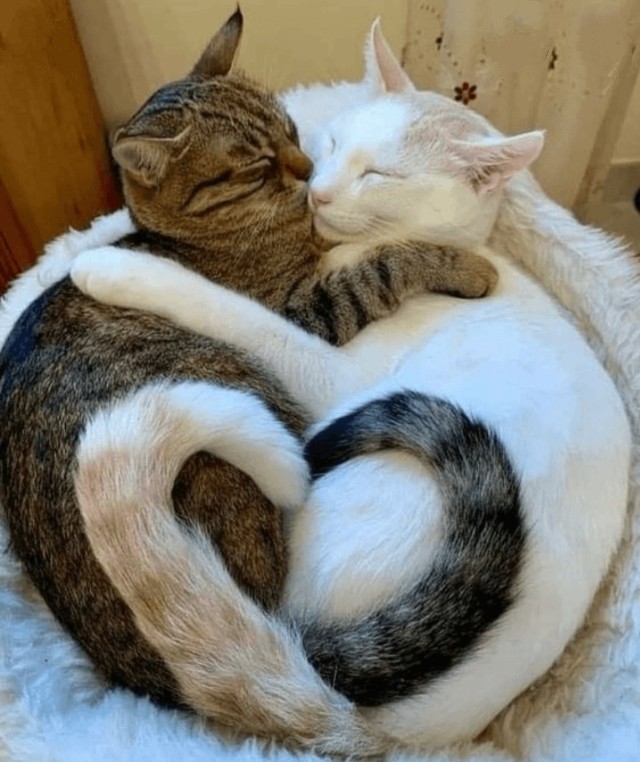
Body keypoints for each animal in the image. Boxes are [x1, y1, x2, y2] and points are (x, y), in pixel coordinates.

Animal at [0, 11, 505, 756]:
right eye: (255, 167)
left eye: (292, 130)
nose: (308, 175)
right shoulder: (306, 308)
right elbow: (388, 263)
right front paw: (465, 265)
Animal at [68, 19, 632, 752]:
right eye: (333, 142)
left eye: (381, 175)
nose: (319, 190)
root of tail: (355, 723)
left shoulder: (324, 363)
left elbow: (234, 310)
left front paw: (110, 267)